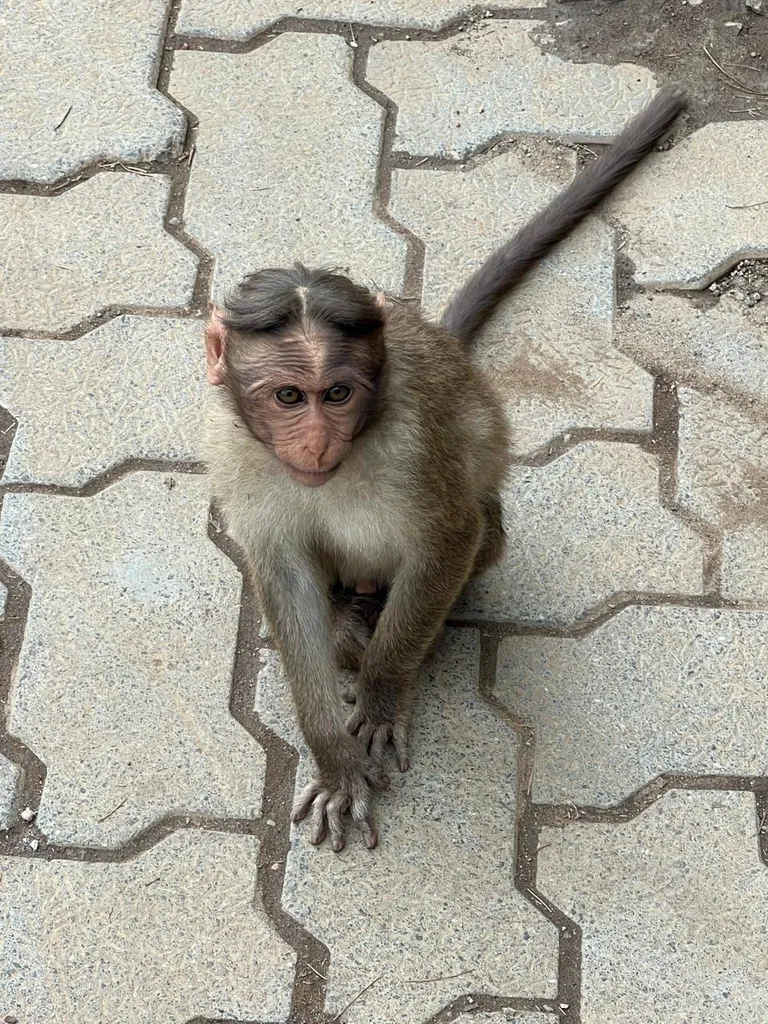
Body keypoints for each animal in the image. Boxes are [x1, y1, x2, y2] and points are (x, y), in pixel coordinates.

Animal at [202, 89, 686, 852]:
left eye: (337, 394)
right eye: (288, 397)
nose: (315, 443)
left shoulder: (412, 445)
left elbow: (449, 538)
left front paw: (381, 697)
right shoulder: (230, 450)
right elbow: (280, 572)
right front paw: (333, 755)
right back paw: (348, 613)